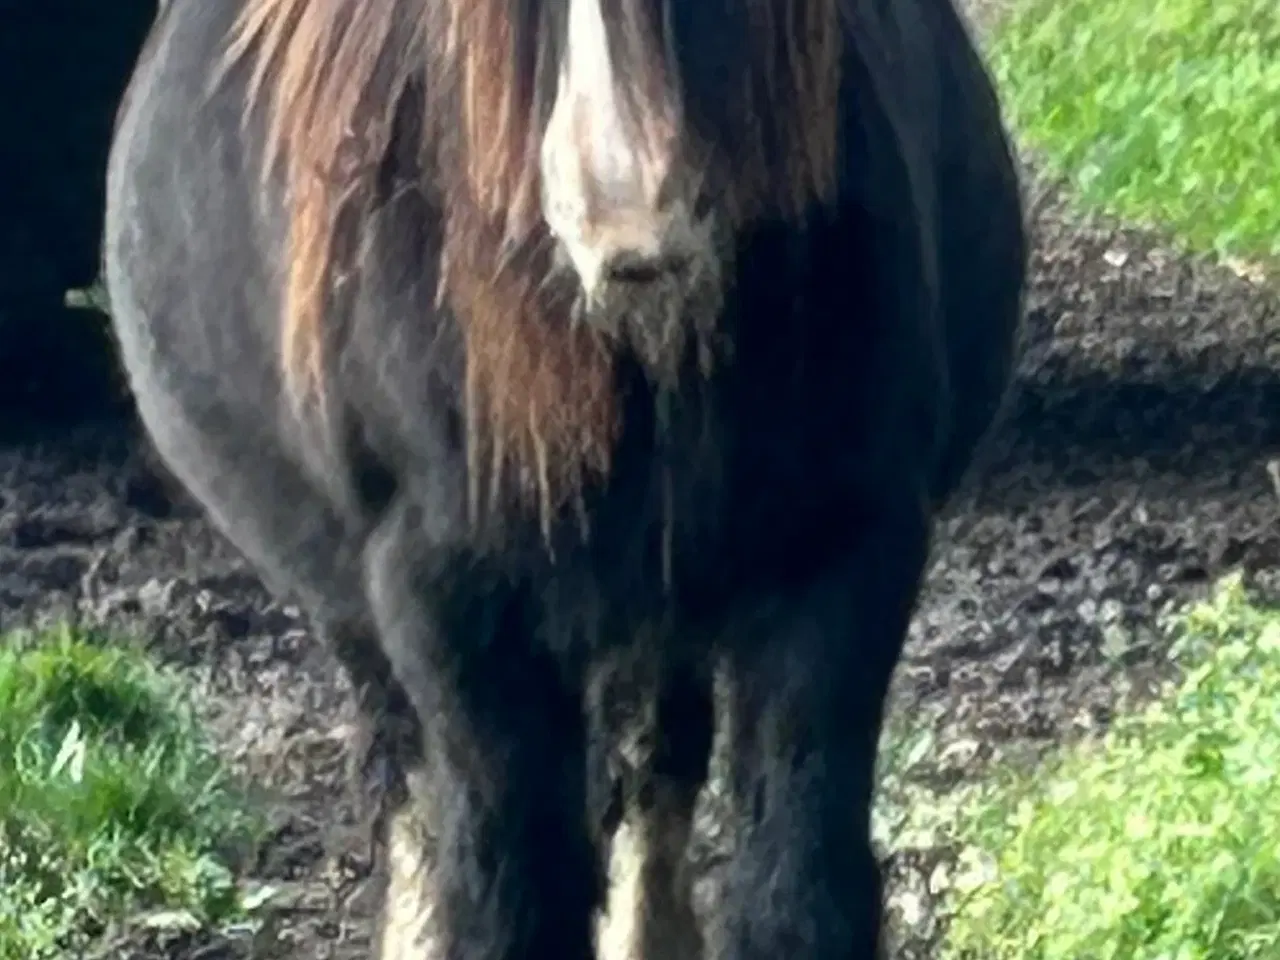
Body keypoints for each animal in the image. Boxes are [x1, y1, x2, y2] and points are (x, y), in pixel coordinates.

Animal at [99, 0, 1024, 957]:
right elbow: (507, 896)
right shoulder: (447, 602)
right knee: (414, 789)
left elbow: (794, 889)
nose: (632, 236)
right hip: (358, 605)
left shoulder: (845, 551)